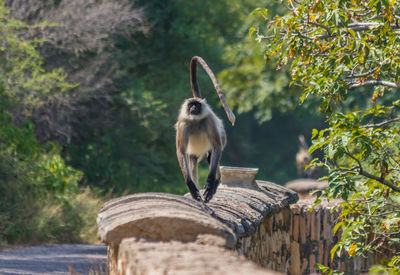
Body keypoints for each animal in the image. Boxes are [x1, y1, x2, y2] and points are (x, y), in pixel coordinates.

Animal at [174, 56, 234, 203]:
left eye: (197, 105)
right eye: (191, 104)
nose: (193, 108)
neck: (195, 120)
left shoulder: (209, 120)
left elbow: (217, 146)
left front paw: (210, 183)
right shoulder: (183, 123)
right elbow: (181, 151)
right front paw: (191, 187)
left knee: (211, 156)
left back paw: (215, 183)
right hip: (194, 153)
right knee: (192, 159)